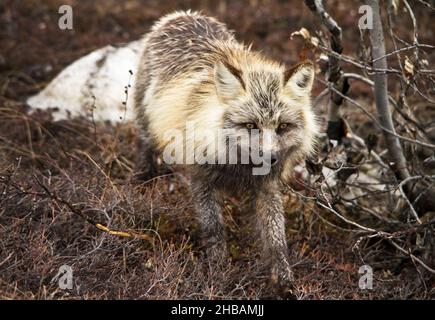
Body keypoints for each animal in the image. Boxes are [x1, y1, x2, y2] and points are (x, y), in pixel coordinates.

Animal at [134, 10, 320, 296]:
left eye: (282, 127)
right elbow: (214, 229)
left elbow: (277, 238)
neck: (237, 166)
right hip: (146, 123)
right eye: (251, 126)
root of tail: (183, 15)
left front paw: (284, 280)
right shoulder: (201, 179)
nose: (270, 158)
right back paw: (145, 181)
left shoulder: (266, 187)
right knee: (146, 149)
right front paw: (219, 272)